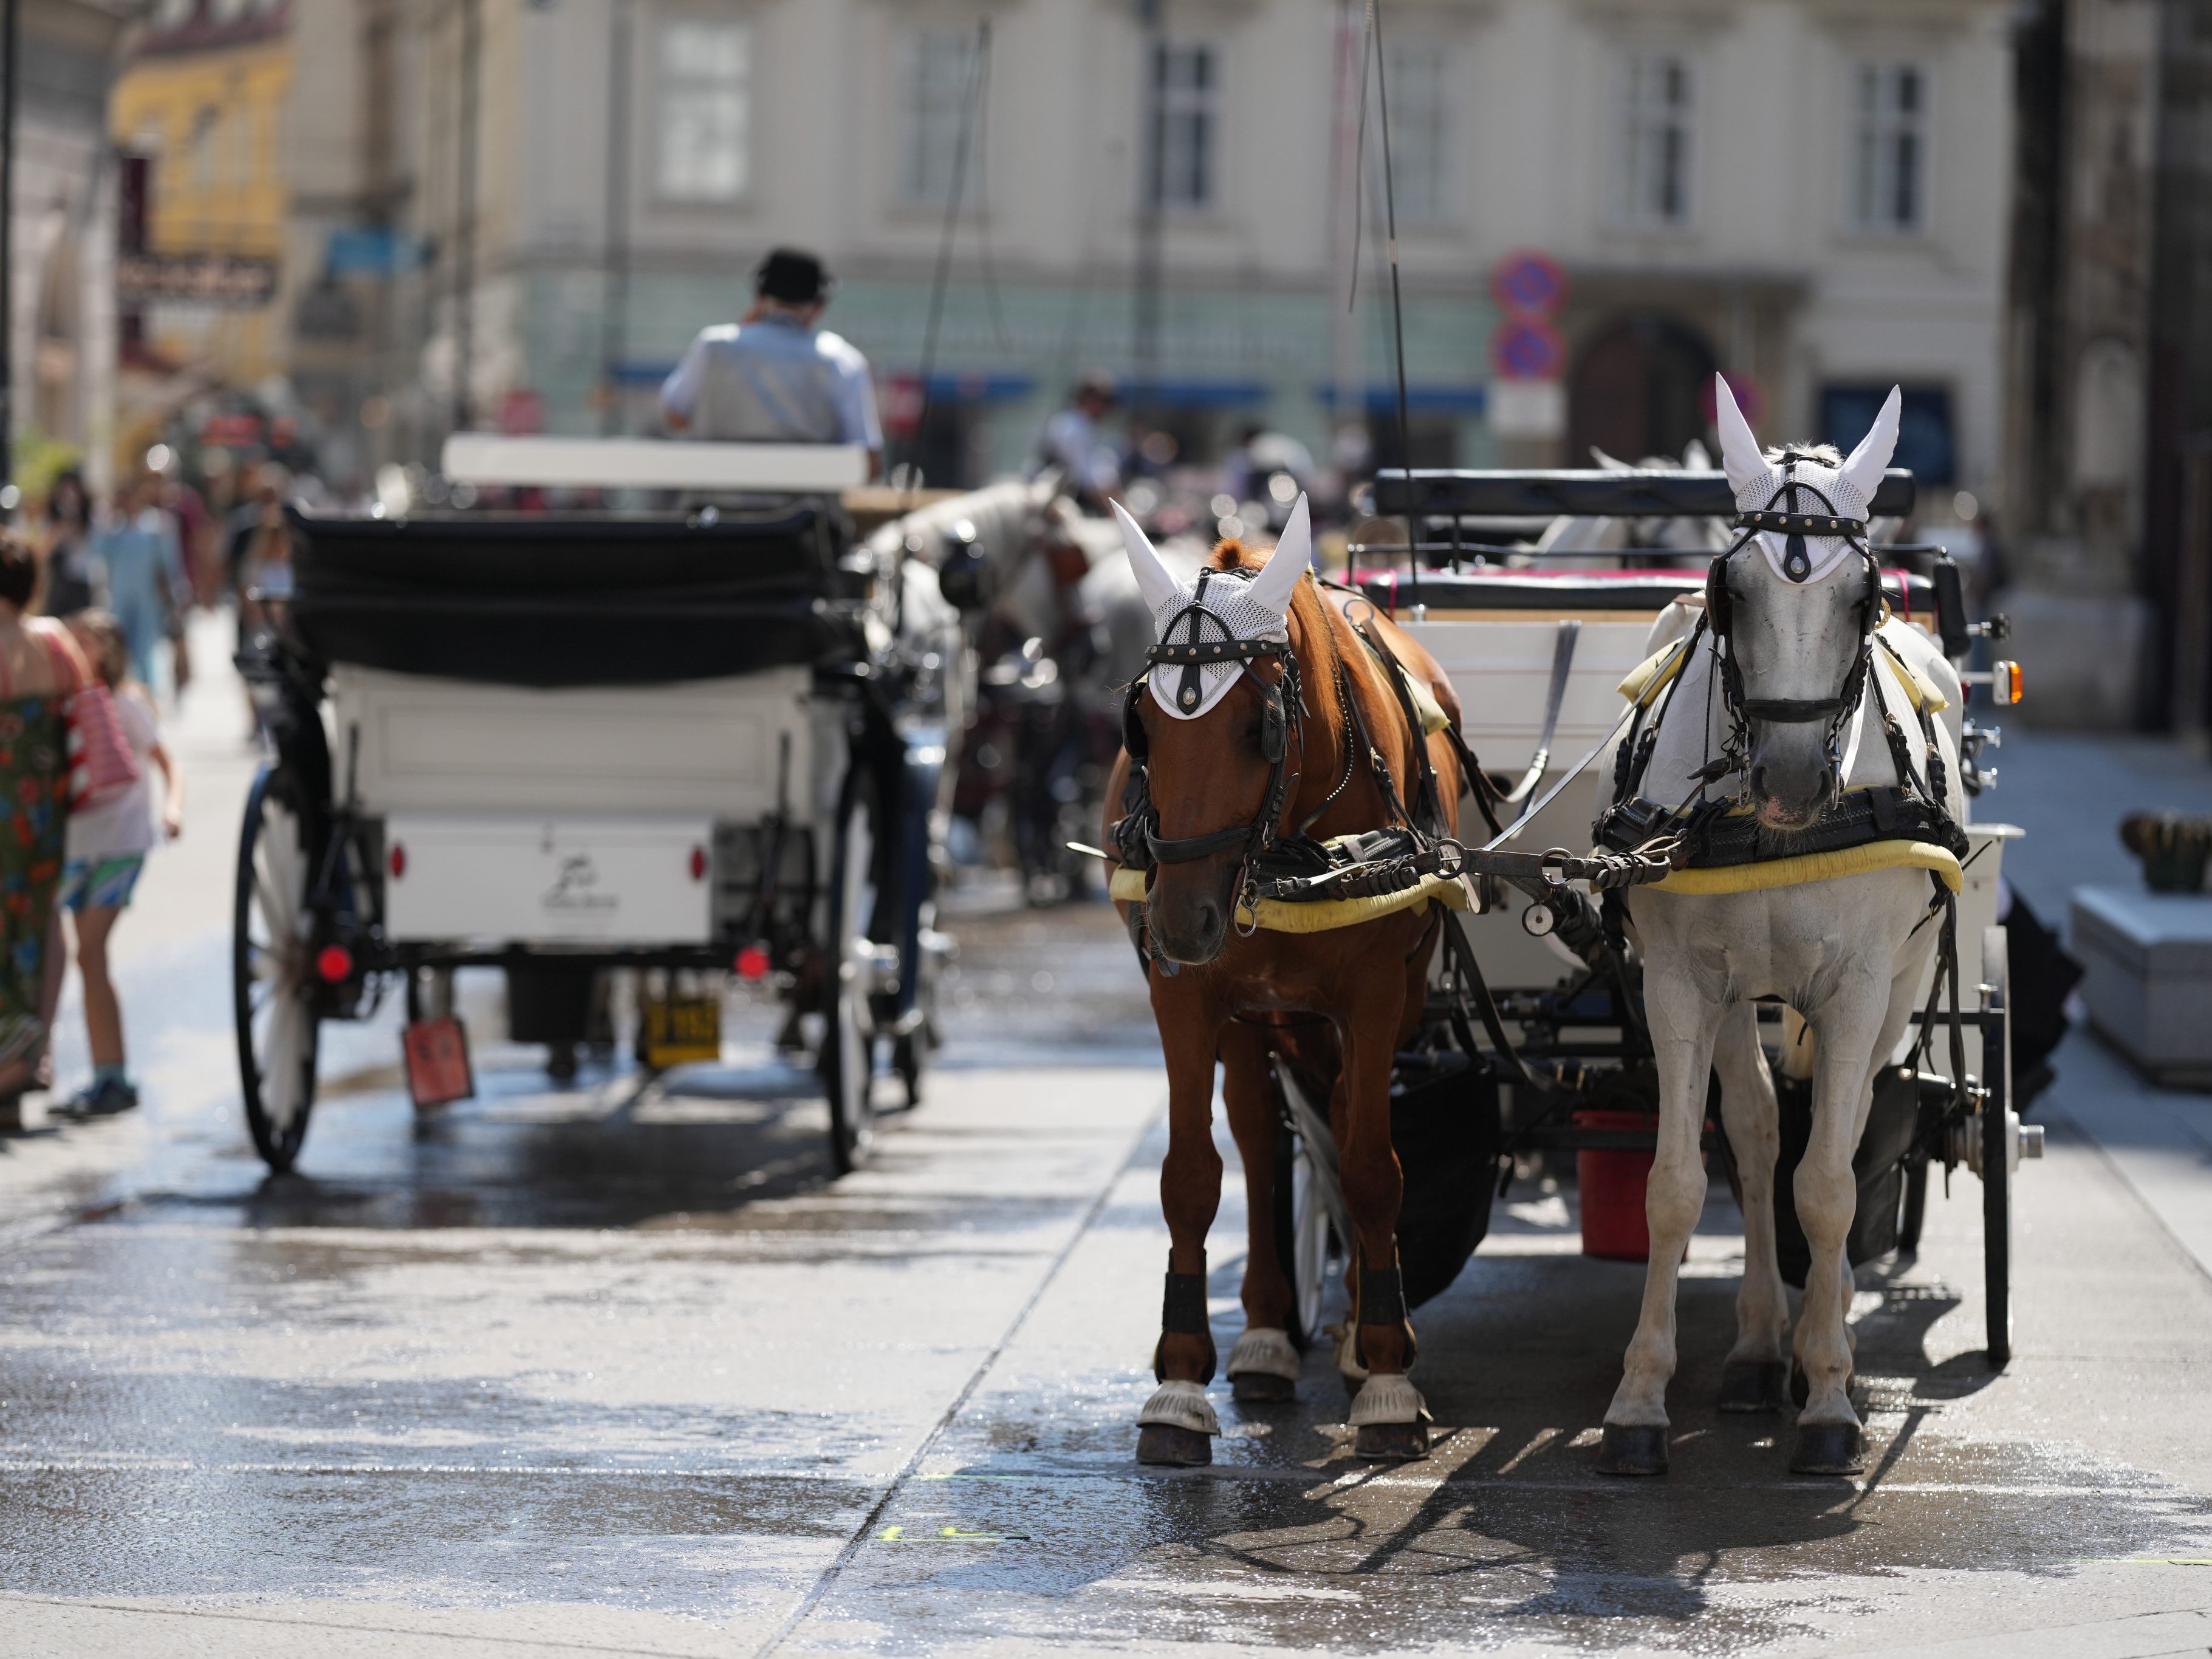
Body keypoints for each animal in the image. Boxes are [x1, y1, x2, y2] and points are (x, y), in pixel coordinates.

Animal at [1106, 504, 1468, 1468]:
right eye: (1142, 728)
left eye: (1255, 727)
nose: (1179, 922)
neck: (1290, 847)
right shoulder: (1186, 1001)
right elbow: (1192, 1175)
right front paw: (1178, 1380)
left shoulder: (1376, 997)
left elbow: (1373, 1167)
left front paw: (1386, 1375)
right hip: (1252, 1014)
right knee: (1261, 1134)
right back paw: (1268, 1335)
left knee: (1341, 1121)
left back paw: (1359, 1333)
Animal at [1592, 380, 1973, 1477]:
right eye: (1731, 592)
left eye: (1864, 599)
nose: (1795, 781)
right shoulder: (1680, 982)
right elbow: (1678, 1185)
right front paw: (1640, 1399)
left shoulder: (1856, 990)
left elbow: (1831, 1185)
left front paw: (1831, 1396)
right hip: (1731, 996)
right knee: (1760, 1133)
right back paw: (1765, 1346)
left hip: (1902, 985)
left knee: (1848, 1125)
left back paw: (1823, 1324)